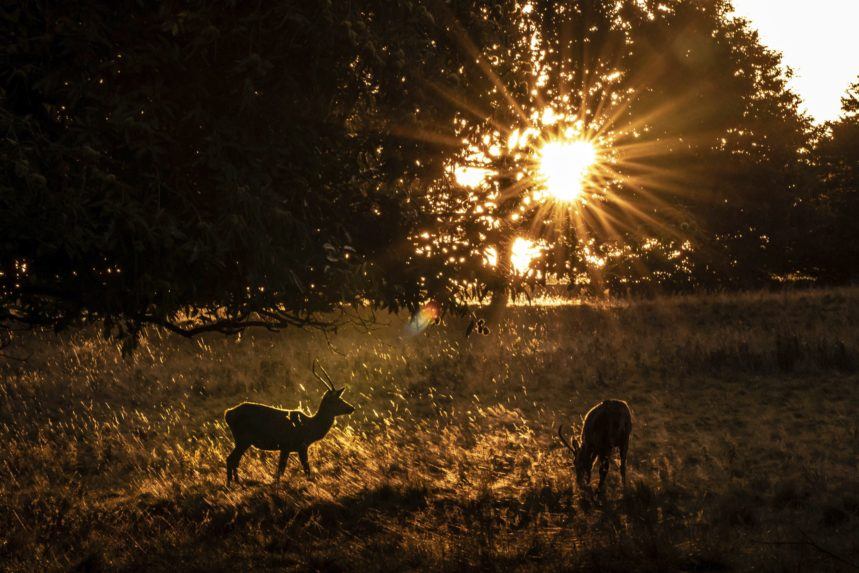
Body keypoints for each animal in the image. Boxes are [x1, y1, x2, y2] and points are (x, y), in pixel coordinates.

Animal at [225, 360, 356, 484]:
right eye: (338, 400)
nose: (352, 408)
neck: (310, 428)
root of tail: (228, 413)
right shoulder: (296, 445)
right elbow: (304, 470)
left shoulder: (286, 448)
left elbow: (281, 471)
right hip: (243, 439)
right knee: (230, 459)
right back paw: (232, 484)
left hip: (242, 440)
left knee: (234, 460)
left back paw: (236, 482)